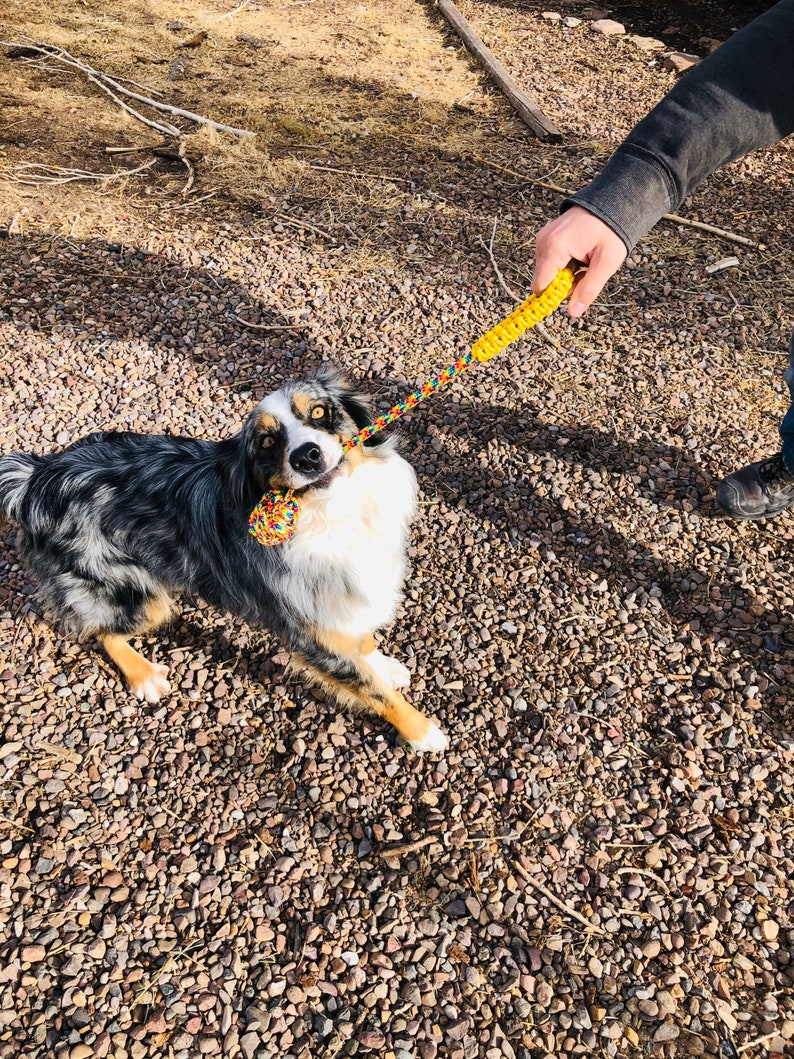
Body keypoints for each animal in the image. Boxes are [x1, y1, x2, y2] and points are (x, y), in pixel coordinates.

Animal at [0, 368, 448, 749]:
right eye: (267, 443)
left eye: (320, 412)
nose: (306, 455)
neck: (332, 514)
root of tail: (36, 478)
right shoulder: (308, 631)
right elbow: (373, 691)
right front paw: (424, 732)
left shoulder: (342, 595)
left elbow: (363, 638)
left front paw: (382, 663)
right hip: (134, 592)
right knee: (102, 631)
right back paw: (144, 676)